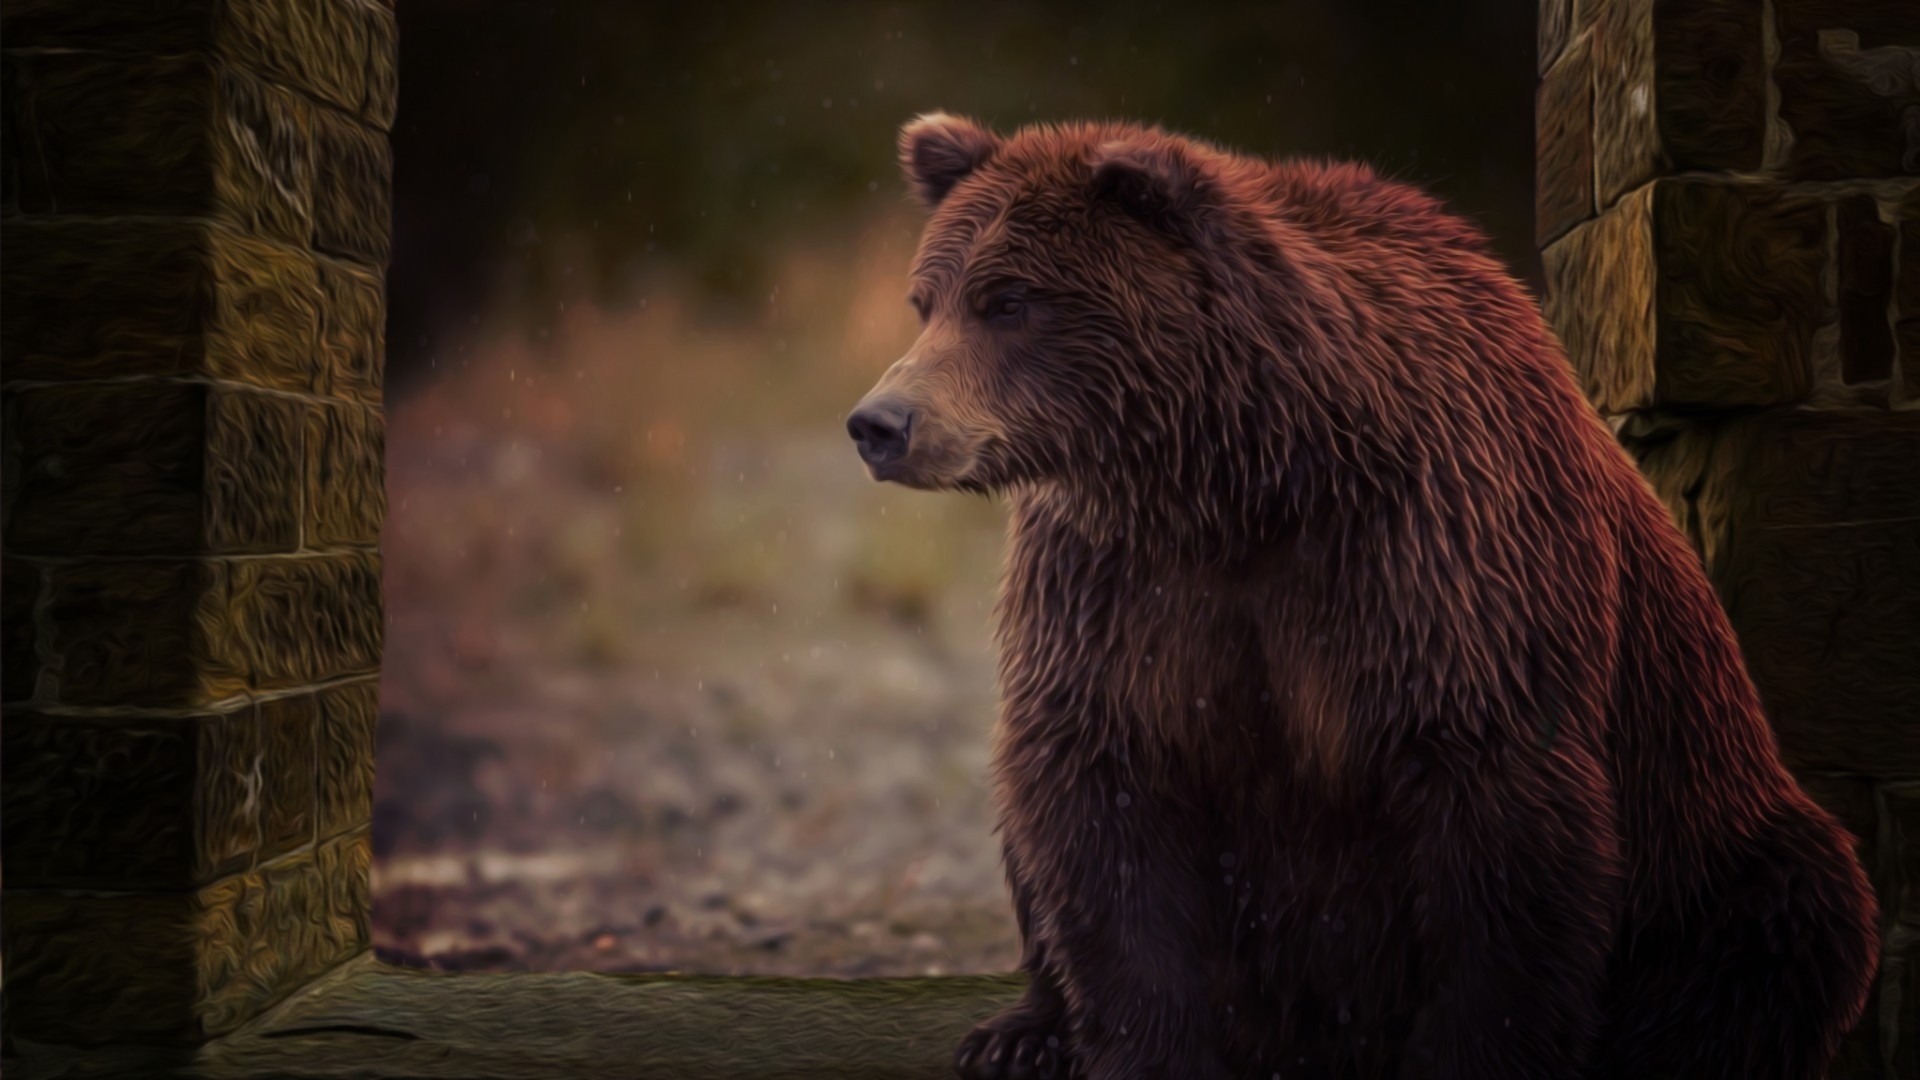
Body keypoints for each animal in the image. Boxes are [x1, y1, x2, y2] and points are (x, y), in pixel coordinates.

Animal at [848, 115, 1881, 1076]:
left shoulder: (1439, 569)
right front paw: (1141, 1047)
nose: (880, 423)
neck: (1242, 479)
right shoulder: (1121, 587)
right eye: (927, 300)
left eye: (1009, 300)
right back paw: (1020, 1033)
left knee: (1785, 922)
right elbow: (1100, 796)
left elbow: (1499, 848)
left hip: (1715, 837)